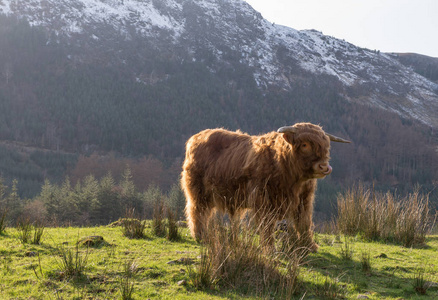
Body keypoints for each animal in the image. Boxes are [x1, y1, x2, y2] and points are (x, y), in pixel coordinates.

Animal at [180, 122, 350, 251]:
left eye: (326, 146)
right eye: (305, 144)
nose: (324, 167)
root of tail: (195, 137)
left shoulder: (304, 199)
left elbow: (304, 221)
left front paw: (310, 245)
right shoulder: (263, 199)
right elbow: (267, 223)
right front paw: (269, 247)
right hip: (198, 191)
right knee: (197, 211)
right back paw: (200, 236)